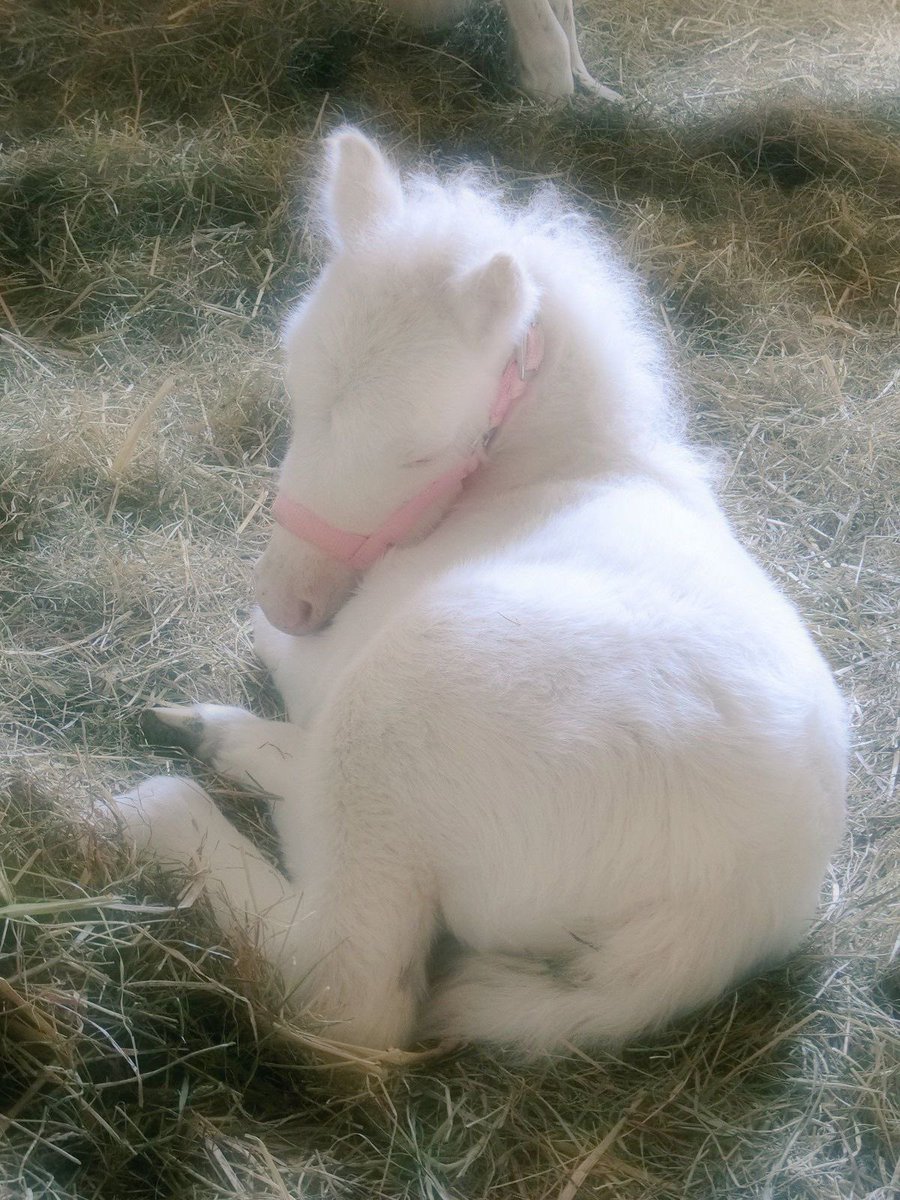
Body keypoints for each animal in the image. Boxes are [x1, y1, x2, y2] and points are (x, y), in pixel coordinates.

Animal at [115, 129, 847, 1054]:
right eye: (294, 387)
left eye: (420, 453)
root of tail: (720, 915)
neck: (557, 466)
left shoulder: (331, 652)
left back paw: (167, 802)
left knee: (347, 978)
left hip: (411, 695)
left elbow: (275, 649)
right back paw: (217, 741)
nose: (293, 599)